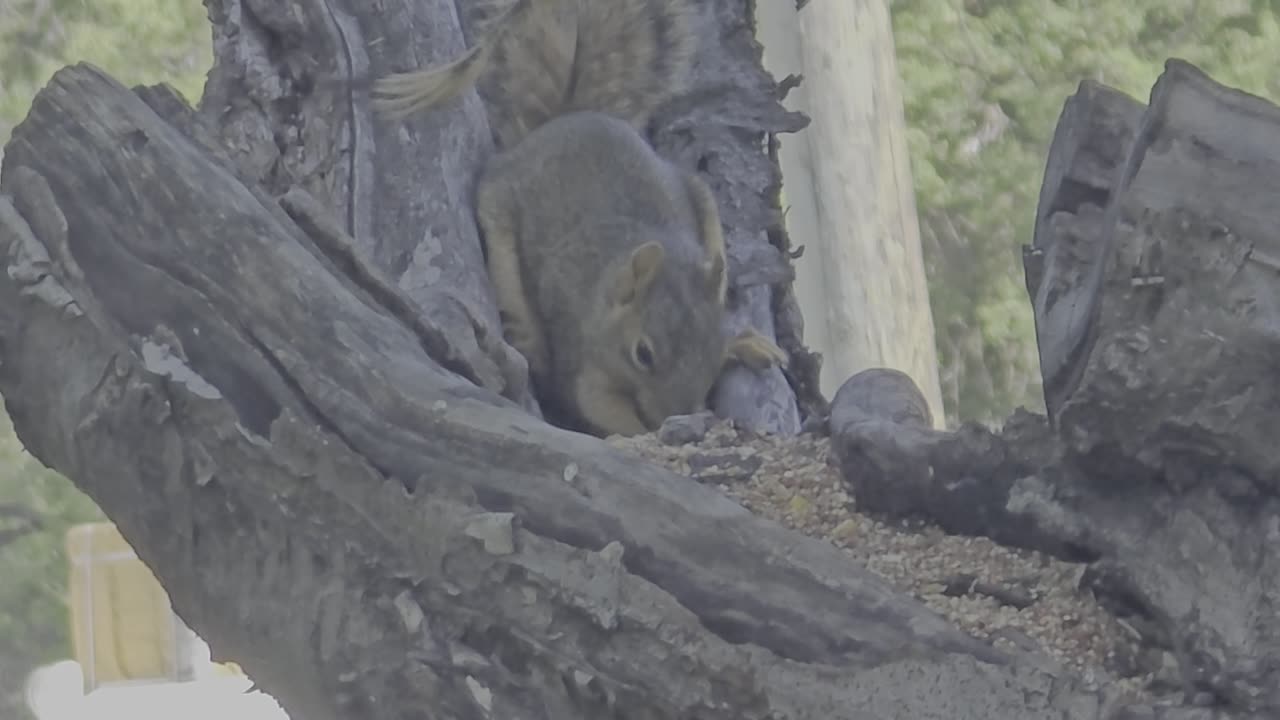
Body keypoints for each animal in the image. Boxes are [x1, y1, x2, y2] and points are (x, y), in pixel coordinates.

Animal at [371, 0, 788, 435]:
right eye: (643, 353)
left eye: (712, 353)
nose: (673, 412)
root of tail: (567, 119)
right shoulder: (582, 352)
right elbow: (598, 405)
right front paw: (648, 429)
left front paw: (737, 346)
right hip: (499, 215)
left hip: (701, 198)